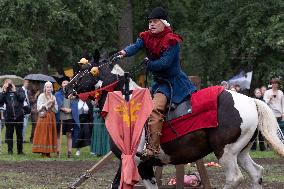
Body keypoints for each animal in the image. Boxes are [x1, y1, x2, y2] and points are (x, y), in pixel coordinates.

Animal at [64, 55, 284, 189]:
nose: (66, 88)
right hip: (241, 152)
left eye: (85, 70)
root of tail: (252, 101)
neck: (126, 103)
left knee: (234, 178)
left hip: (226, 153)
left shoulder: (135, 161)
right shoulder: (140, 164)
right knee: (256, 173)